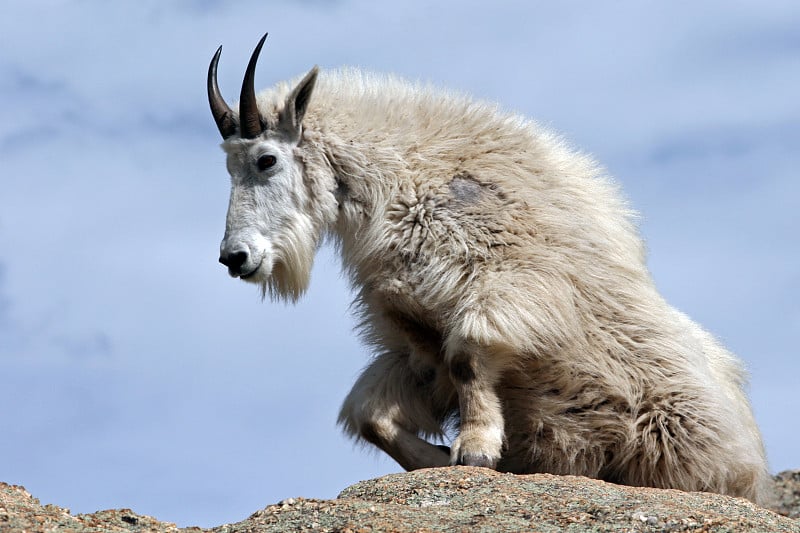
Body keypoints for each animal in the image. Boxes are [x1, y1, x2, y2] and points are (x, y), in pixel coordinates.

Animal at [208, 34, 768, 502]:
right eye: (228, 166)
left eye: (265, 160)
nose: (235, 258)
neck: (400, 184)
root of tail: (752, 464)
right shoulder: (414, 336)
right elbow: (372, 416)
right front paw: (440, 458)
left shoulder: (509, 286)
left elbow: (469, 357)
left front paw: (474, 449)